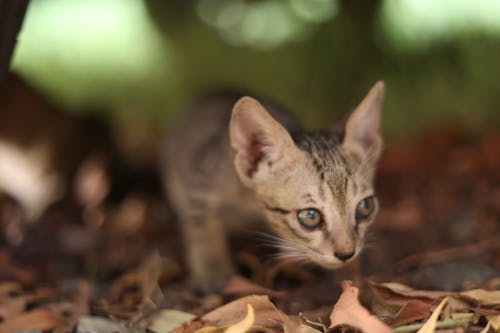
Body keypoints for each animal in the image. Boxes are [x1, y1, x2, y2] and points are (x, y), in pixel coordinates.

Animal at [162, 81, 384, 294]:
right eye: (310, 216)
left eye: (365, 206)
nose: (346, 254)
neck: (250, 199)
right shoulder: (203, 181)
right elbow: (202, 224)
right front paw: (213, 271)